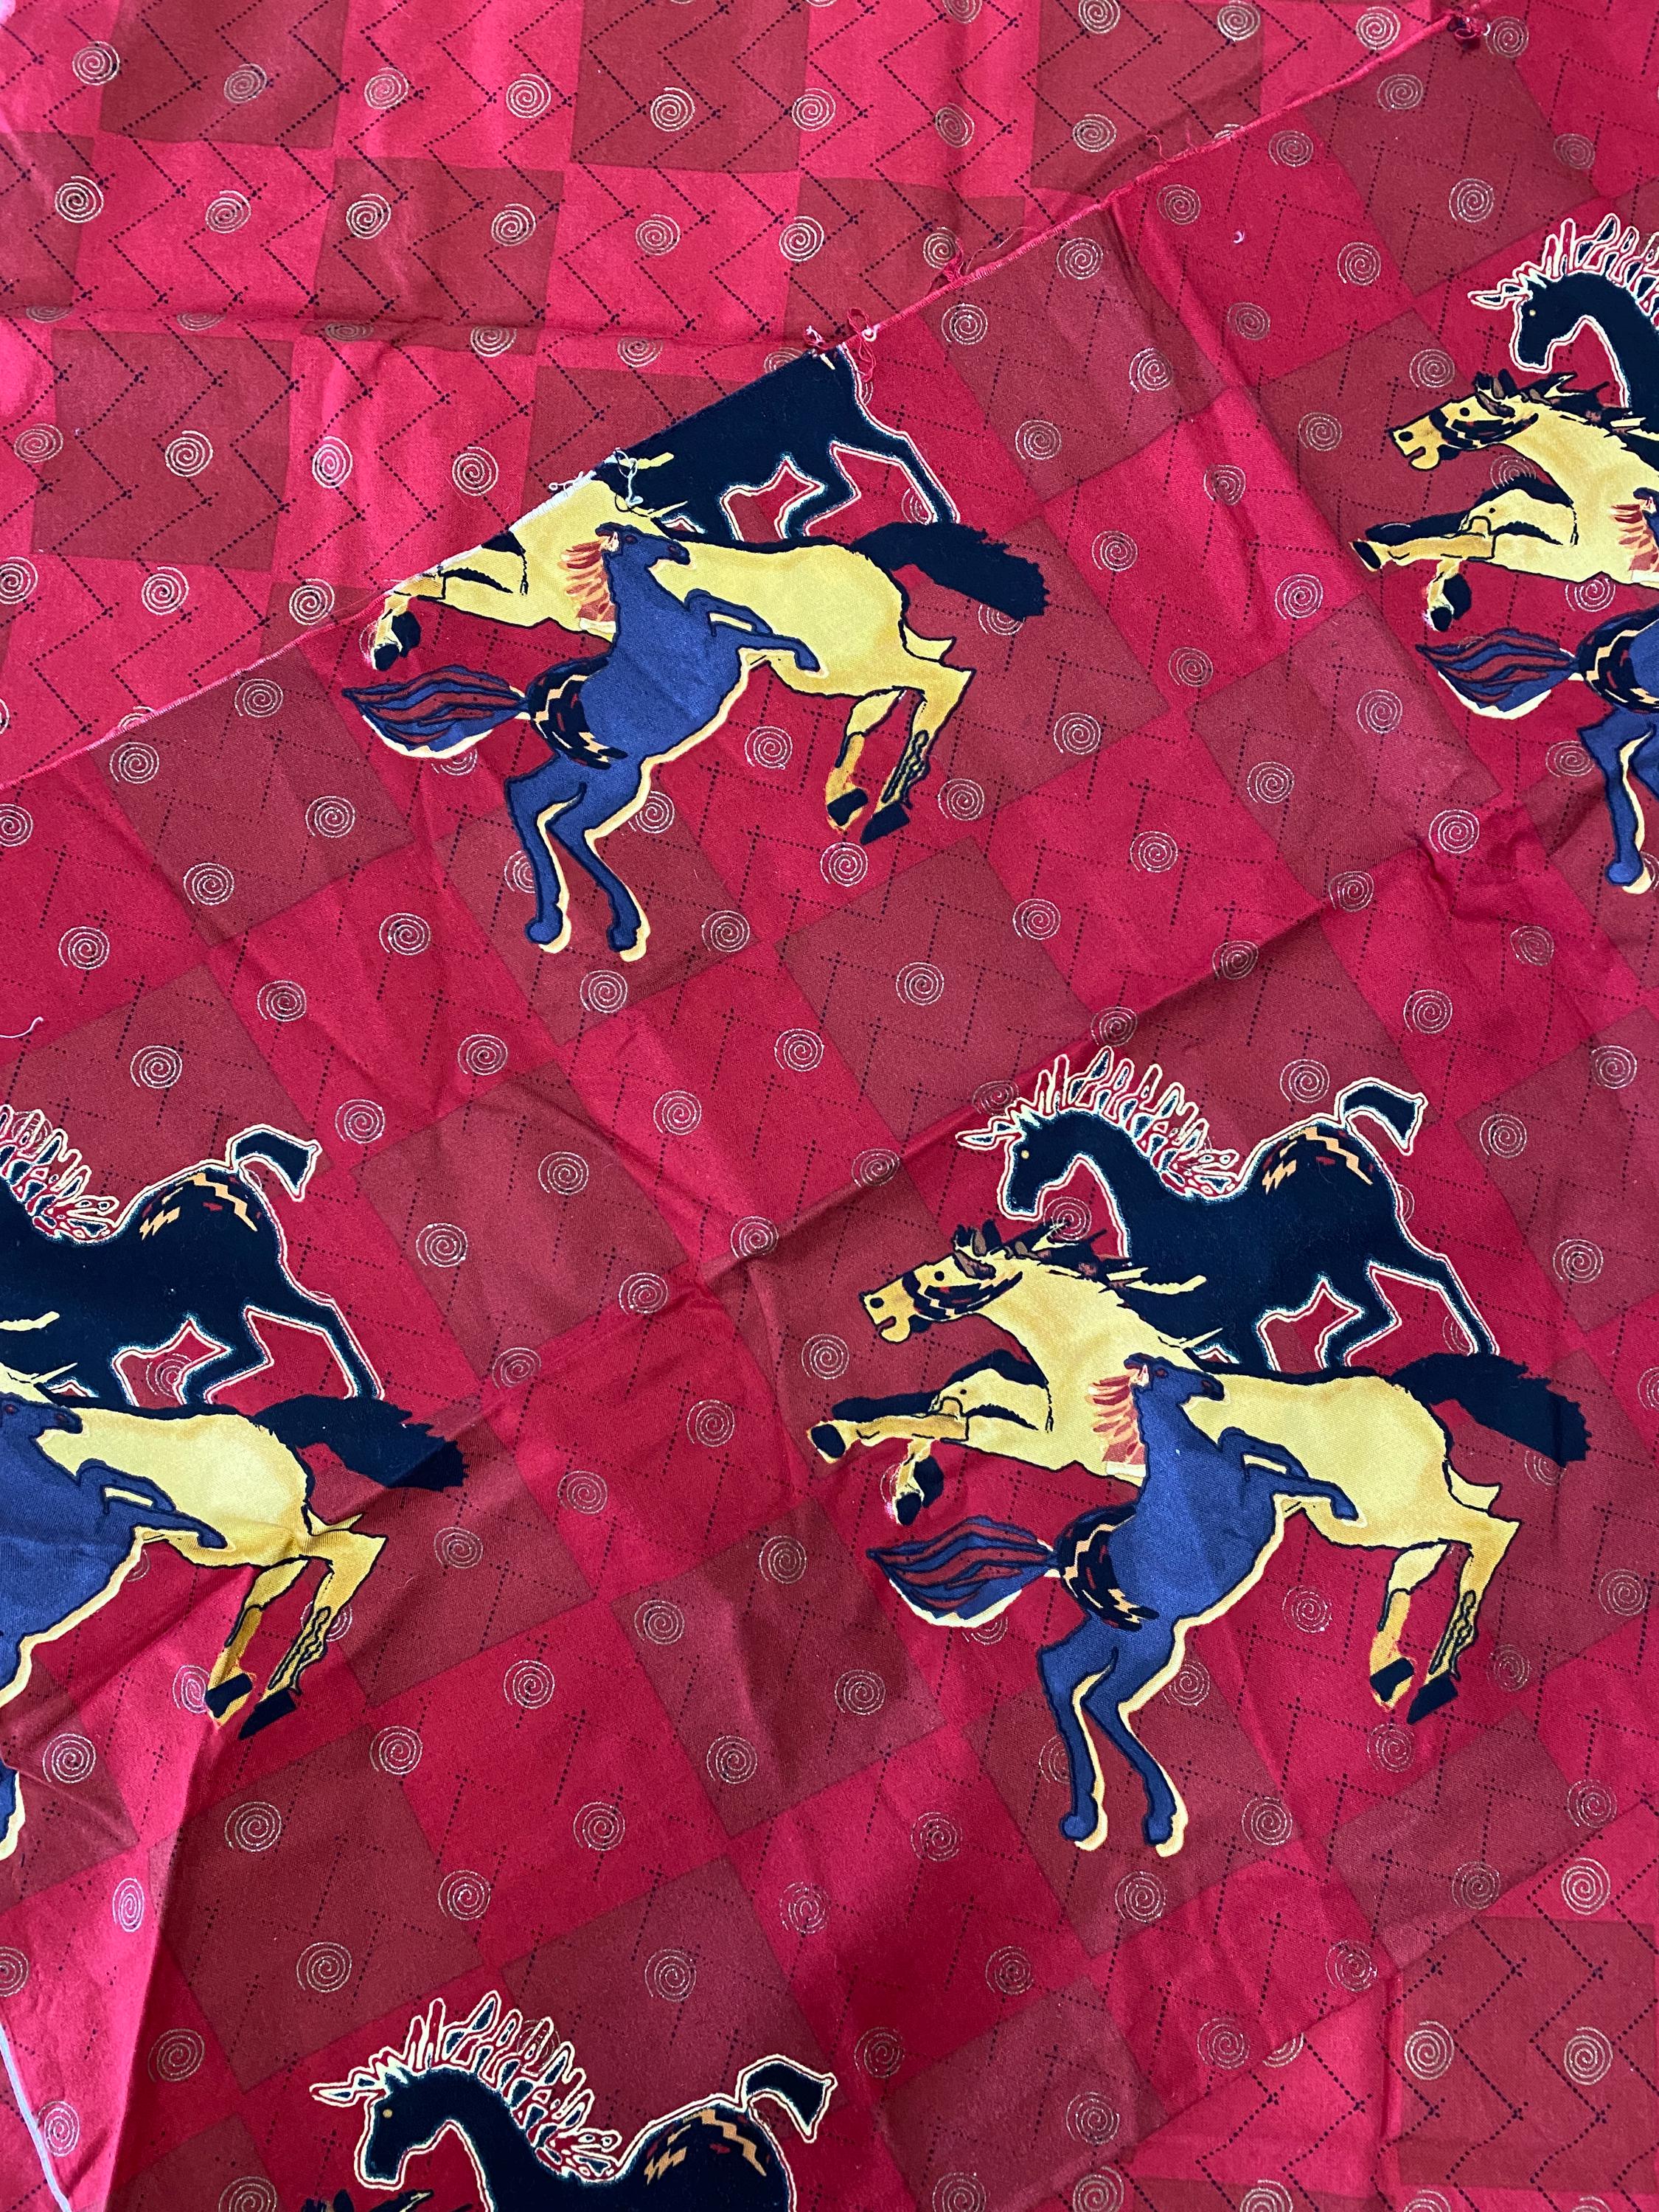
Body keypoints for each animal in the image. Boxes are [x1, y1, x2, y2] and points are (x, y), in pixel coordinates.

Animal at [0, 1370, 463, 1855]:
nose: (66, 1420)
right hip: (266, 1540)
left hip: (253, 1536)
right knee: (291, 1570)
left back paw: (267, 1693)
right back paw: (237, 1690)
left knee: (351, 1550)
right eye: (13, 1403)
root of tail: (260, 1430)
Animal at [811, 1220, 1585, 1721]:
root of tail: (1411, 1398)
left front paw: (843, 1435)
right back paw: (1388, 1667)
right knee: (1439, 1544)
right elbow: (965, 1387)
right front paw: (905, 1486)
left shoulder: (1058, 1449)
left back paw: (1436, 1677)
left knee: (1493, 1530)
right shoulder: (1046, 1415)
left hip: (1385, 1509)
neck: (1093, 1350)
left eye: (944, 1278)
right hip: (1367, 1516)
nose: (875, 1304)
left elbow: (961, 1416)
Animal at [872, 1357, 1364, 1853]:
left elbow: (1239, 1439)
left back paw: (1086, 1814)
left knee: (1058, 1668)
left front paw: (1298, 1463)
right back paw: (1158, 1817)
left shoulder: (1238, 1475)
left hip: (1108, 1636)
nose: (1214, 1386)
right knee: (1103, 1699)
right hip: (1149, 1647)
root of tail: (1055, 1561)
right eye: (1163, 1373)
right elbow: (1269, 1471)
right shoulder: (1252, 1504)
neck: (1185, 1463)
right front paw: (1343, 1504)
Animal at [959, 1047, 1495, 1365]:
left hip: (1358, 1251)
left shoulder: (1231, 1325)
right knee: (1414, 1287)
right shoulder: (1214, 1334)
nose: (1015, 1200)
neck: (1164, 1223)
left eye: (1027, 1153)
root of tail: (1337, 1132)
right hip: (1362, 1254)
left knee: (1408, 1293)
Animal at [1351, 371, 1659, 629]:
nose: (1403, 436)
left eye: (1467, 410)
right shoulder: (1573, 529)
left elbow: (1500, 546)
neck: (1608, 476)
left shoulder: (1586, 561)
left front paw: (1389, 554)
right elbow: (1504, 505)